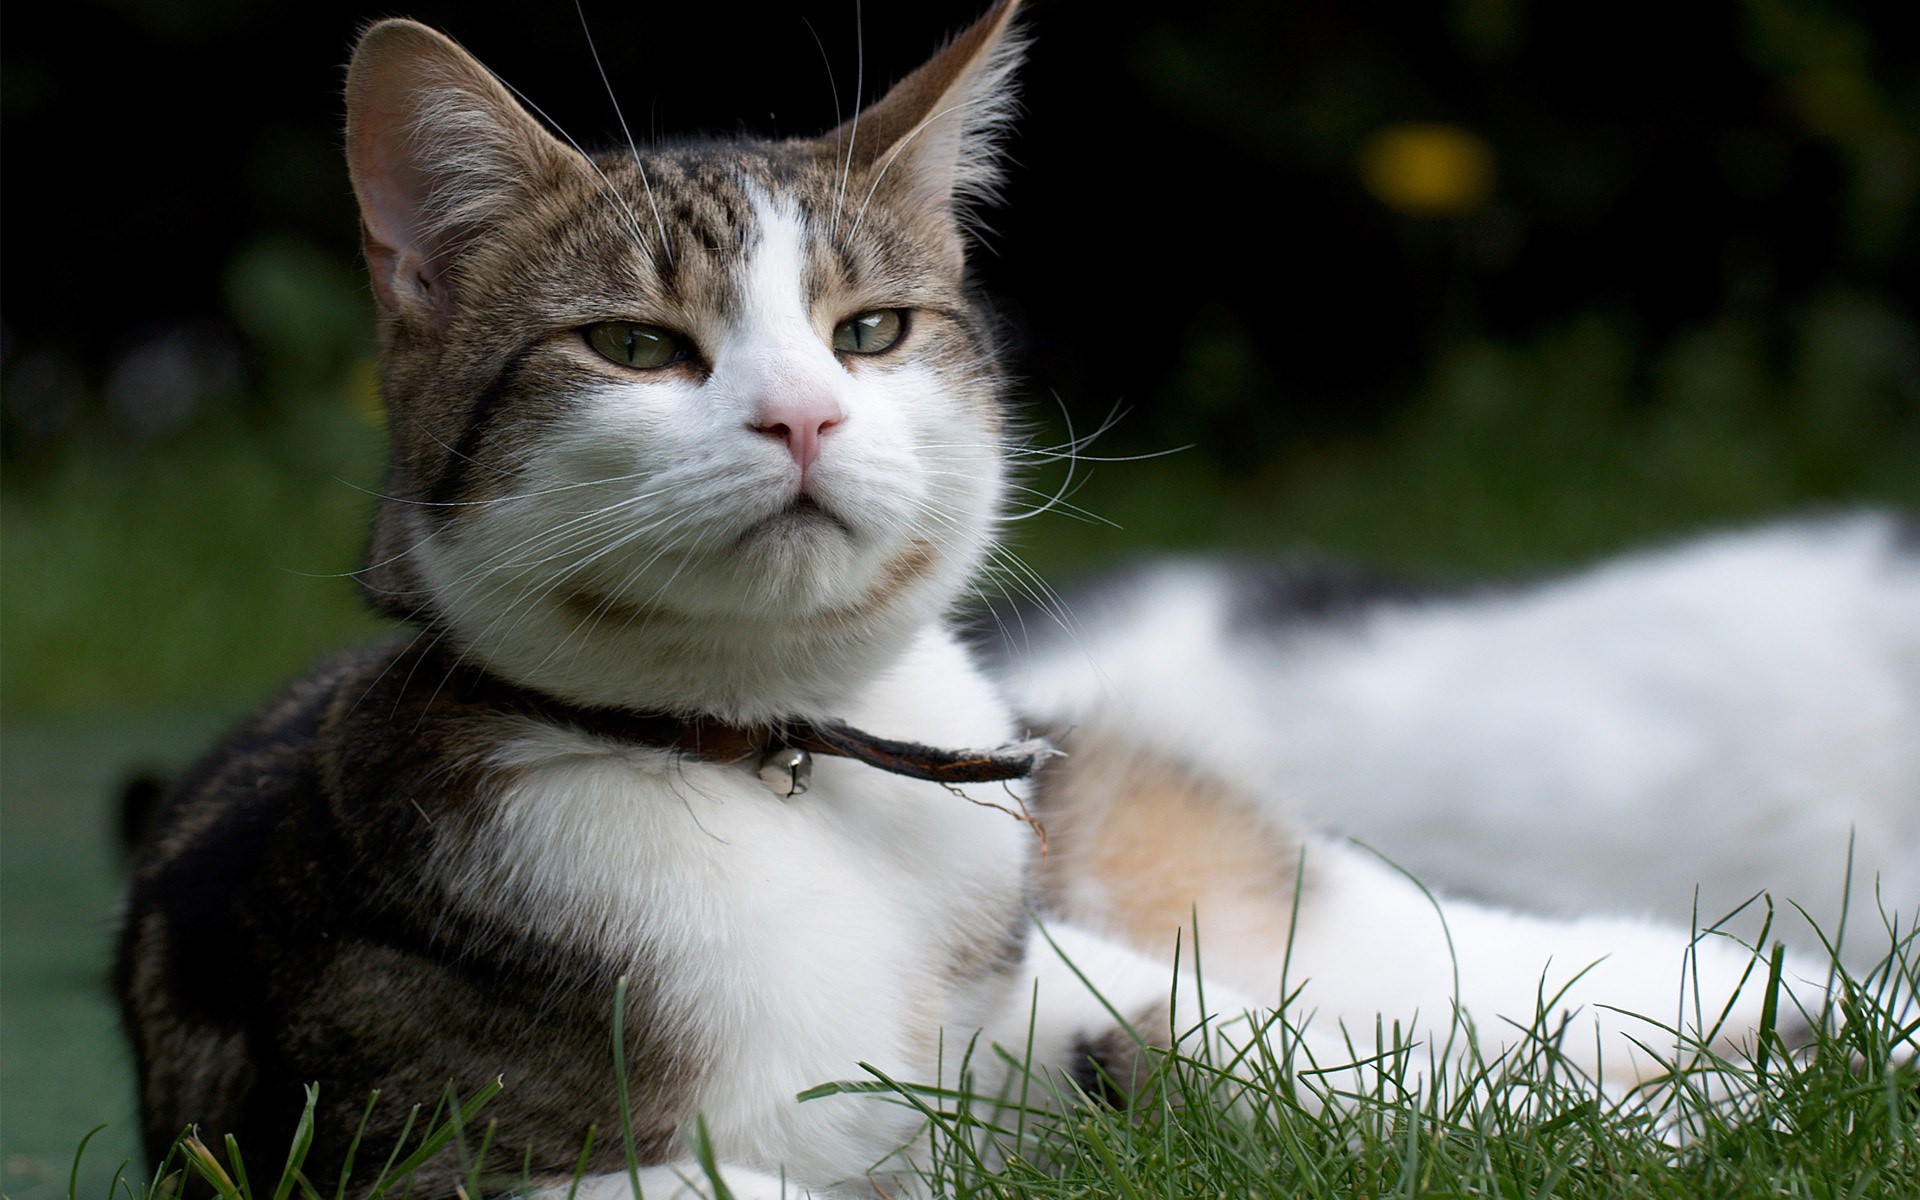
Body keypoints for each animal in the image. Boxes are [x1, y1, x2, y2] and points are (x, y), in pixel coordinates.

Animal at [112, 4, 1820, 1190]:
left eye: (869, 331)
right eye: (637, 347)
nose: (804, 416)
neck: (774, 762)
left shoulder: (1043, 988)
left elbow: (1301, 1072)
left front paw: (1656, 1126)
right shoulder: (423, 1151)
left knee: (1418, 948)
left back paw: (1792, 1019)